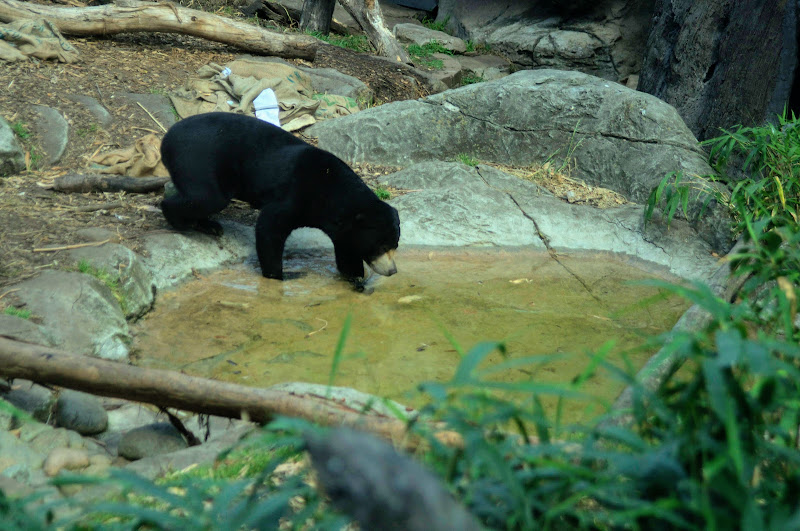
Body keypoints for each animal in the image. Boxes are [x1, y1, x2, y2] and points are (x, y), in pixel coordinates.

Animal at [159, 112, 400, 291]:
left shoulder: (343, 227)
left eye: (394, 245)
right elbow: (270, 226)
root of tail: (166, 137)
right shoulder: (297, 194)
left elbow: (347, 249)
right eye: (381, 246)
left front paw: (357, 280)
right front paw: (283, 275)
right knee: (205, 197)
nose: (393, 271)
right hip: (196, 160)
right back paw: (182, 222)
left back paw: (208, 225)